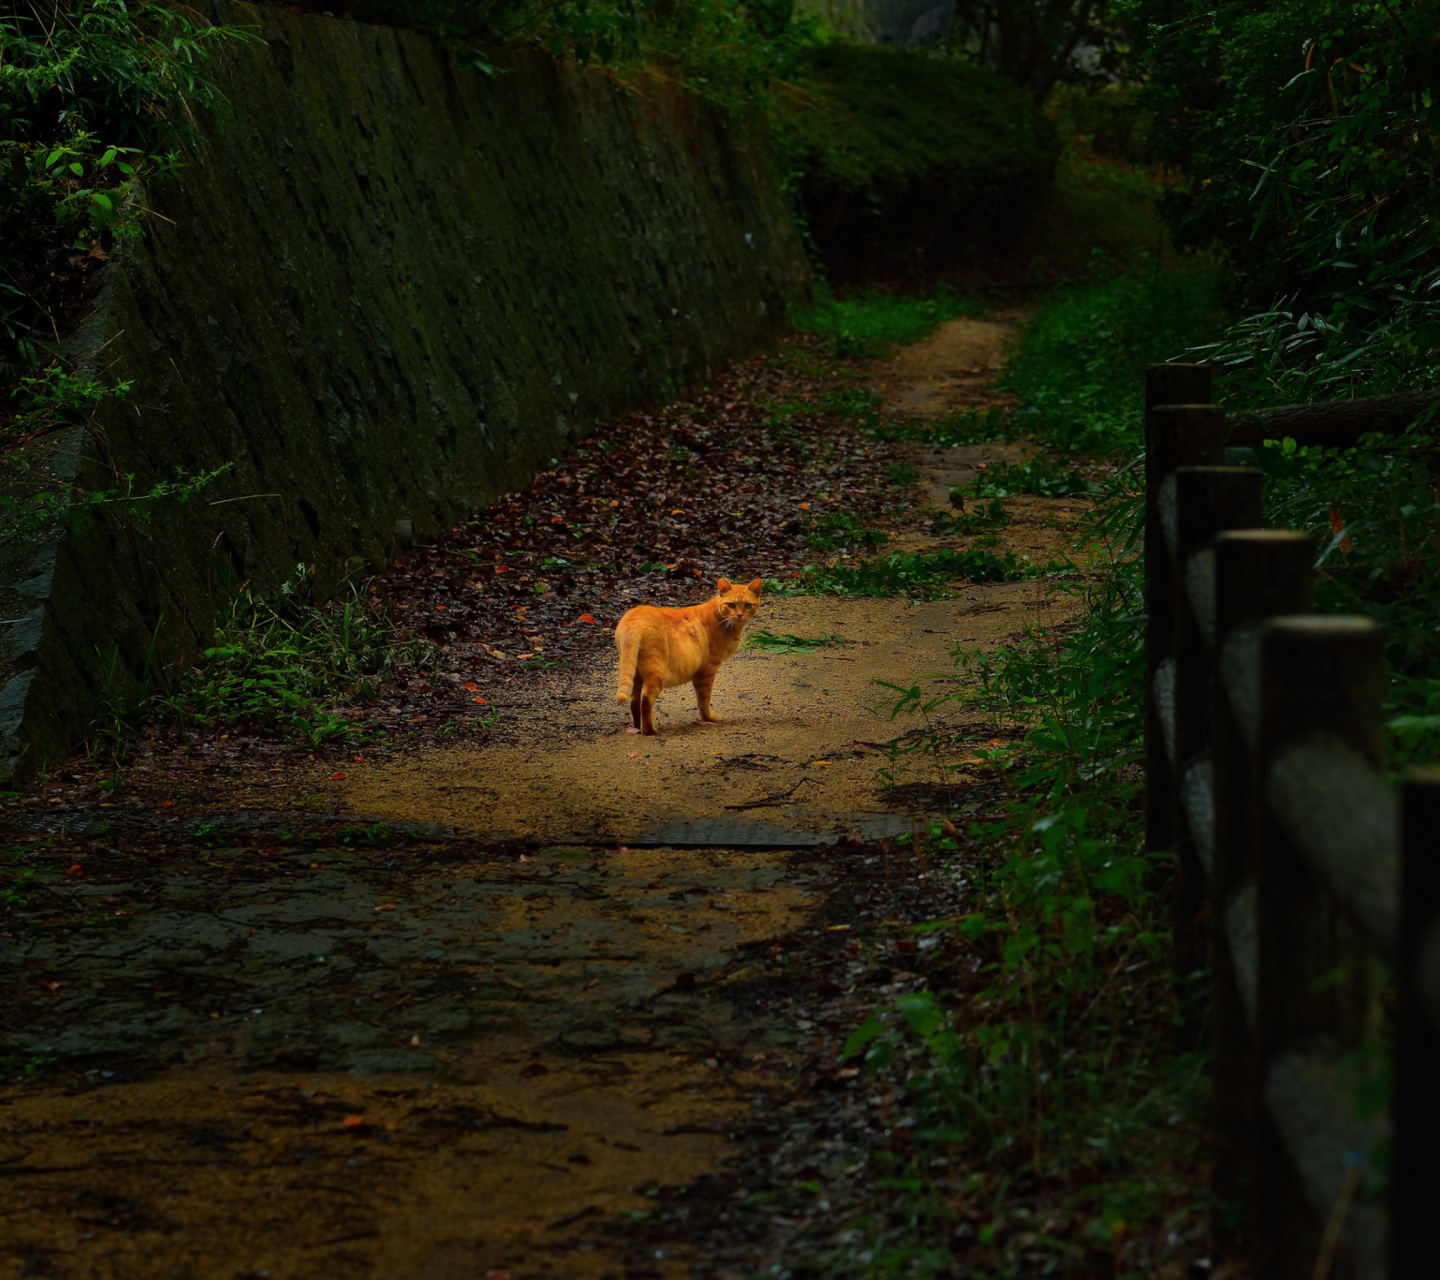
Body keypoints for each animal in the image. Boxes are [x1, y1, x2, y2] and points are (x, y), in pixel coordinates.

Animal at [610, 575, 766, 734]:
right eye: (731, 605)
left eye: (747, 605)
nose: (740, 615)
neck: (723, 621)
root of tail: (634, 619)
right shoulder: (707, 671)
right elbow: (704, 701)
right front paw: (709, 719)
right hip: (656, 672)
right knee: (646, 699)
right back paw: (650, 731)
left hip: (636, 675)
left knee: (634, 701)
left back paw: (637, 727)